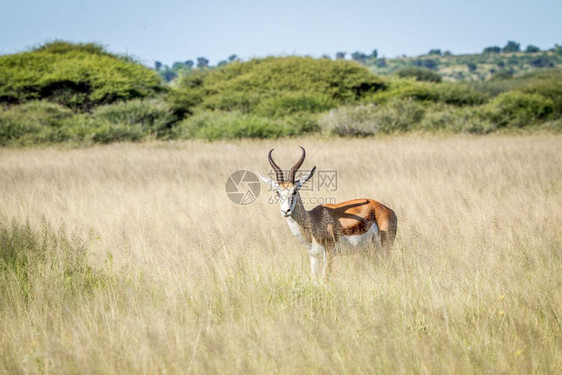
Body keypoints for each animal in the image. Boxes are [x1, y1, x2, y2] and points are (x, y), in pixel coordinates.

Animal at [256, 147, 396, 280]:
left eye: (295, 191)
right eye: (277, 192)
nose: (286, 211)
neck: (313, 221)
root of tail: (387, 209)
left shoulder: (329, 254)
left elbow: (325, 277)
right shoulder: (313, 255)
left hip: (385, 247)